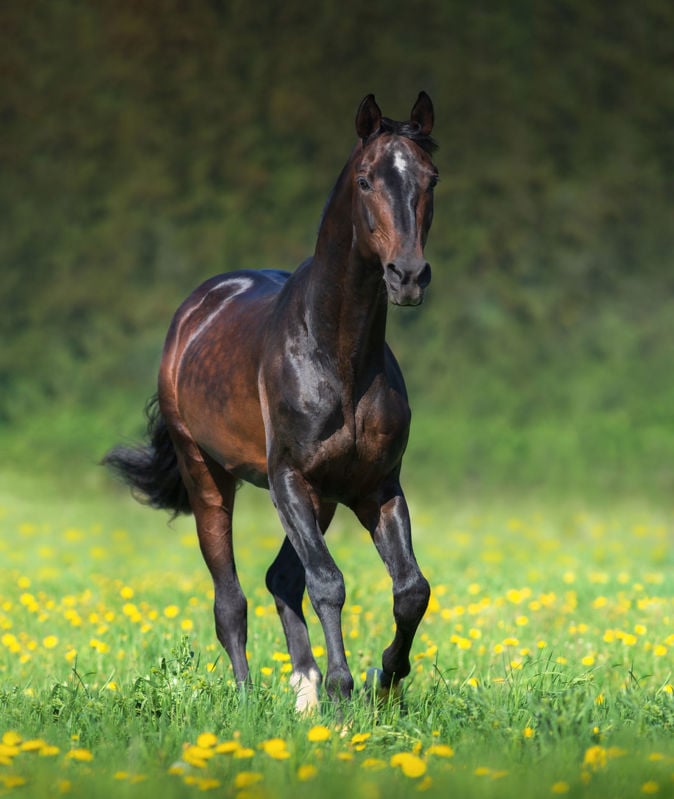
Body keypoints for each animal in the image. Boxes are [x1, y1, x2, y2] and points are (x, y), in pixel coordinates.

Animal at [104, 92, 439, 711]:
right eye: (365, 180)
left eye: (431, 178)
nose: (407, 275)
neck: (338, 356)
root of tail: (196, 309)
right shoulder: (288, 477)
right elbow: (328, 582)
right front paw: (341, 689)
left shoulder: (376, 487)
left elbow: (410, 589)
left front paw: (383, 680)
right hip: (208, 477)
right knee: (229, 598)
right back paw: (248, 696)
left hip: (322, 498)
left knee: (281, 578)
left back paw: (303, 688)